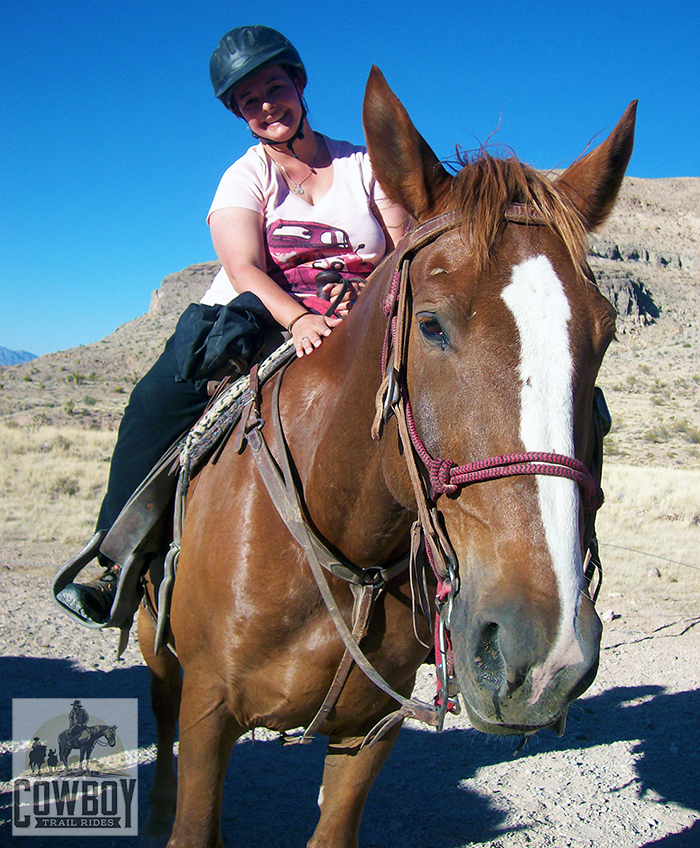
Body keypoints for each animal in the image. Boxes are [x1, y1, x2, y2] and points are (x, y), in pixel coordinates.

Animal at [139, 68, 636, 848]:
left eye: (606, 333)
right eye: (429, 325)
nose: (540, 654)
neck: (342, 553)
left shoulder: (370, 733)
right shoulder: (209, 709)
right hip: (155, 647)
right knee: (159, 705)